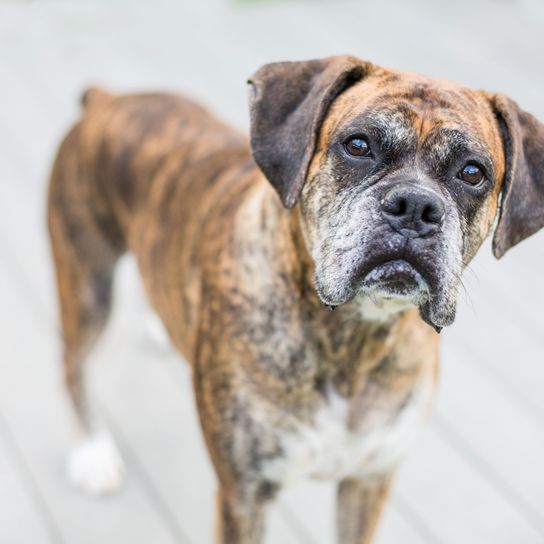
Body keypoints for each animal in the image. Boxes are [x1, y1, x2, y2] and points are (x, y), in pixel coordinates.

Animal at [46, 56, 544, 544]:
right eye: (358, 145)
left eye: (473, 172)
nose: (415, 206)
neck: (352, 338)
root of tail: (107, 101)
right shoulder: (244, 497)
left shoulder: (368, 483)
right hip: (88, 289)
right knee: (72, 365)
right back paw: (92, 453)